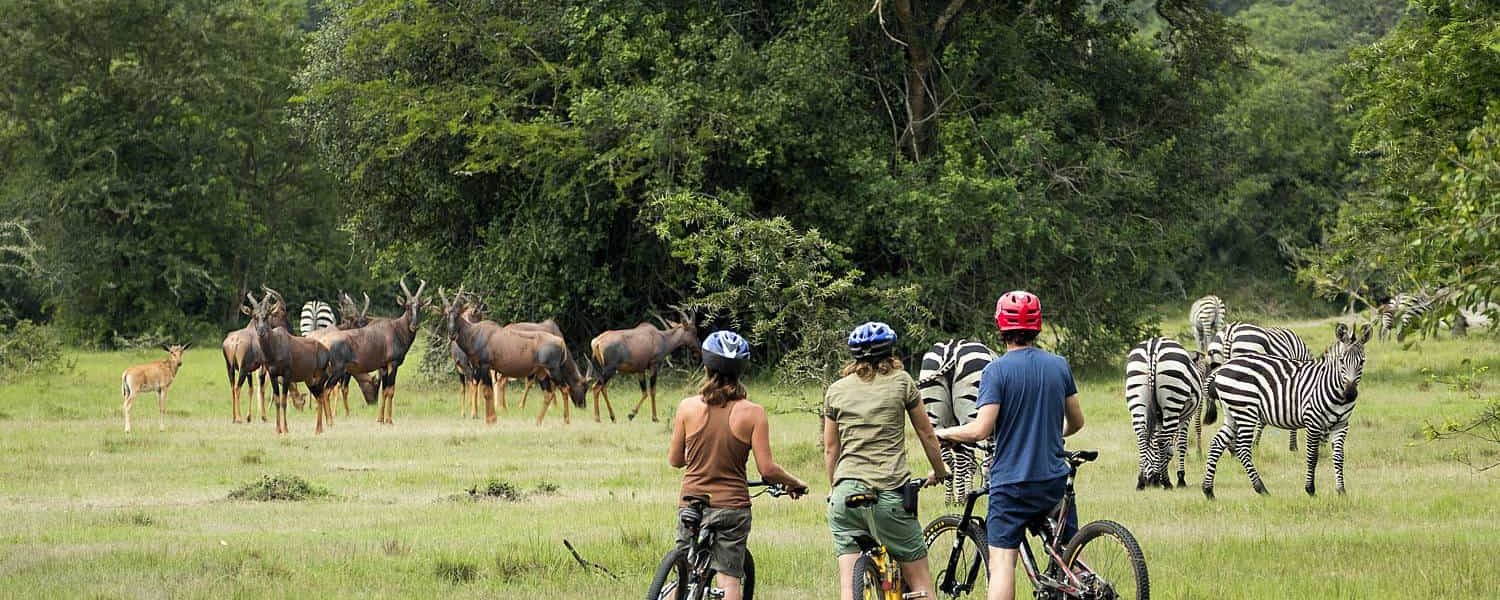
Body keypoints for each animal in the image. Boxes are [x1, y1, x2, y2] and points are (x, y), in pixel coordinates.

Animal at [912, 340, 996, 504]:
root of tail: (952, 349)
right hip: (969, 413)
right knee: (964, 458)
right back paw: (961, 499)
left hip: (935, 417)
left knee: (948, 456)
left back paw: (949, 499)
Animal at [1128, 334, 1206, 489]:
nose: (1149, 480)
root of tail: (1153, 346)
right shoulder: (1184, 418)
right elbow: (1179, 444)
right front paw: (1180, 478)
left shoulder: (1158, 418)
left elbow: (1157, 444)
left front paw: (1154, 476)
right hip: (1172, 402)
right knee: (1162, 441)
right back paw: (1166, 481)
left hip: (1137, 399)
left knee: (1142, 437)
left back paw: (1141, 481)